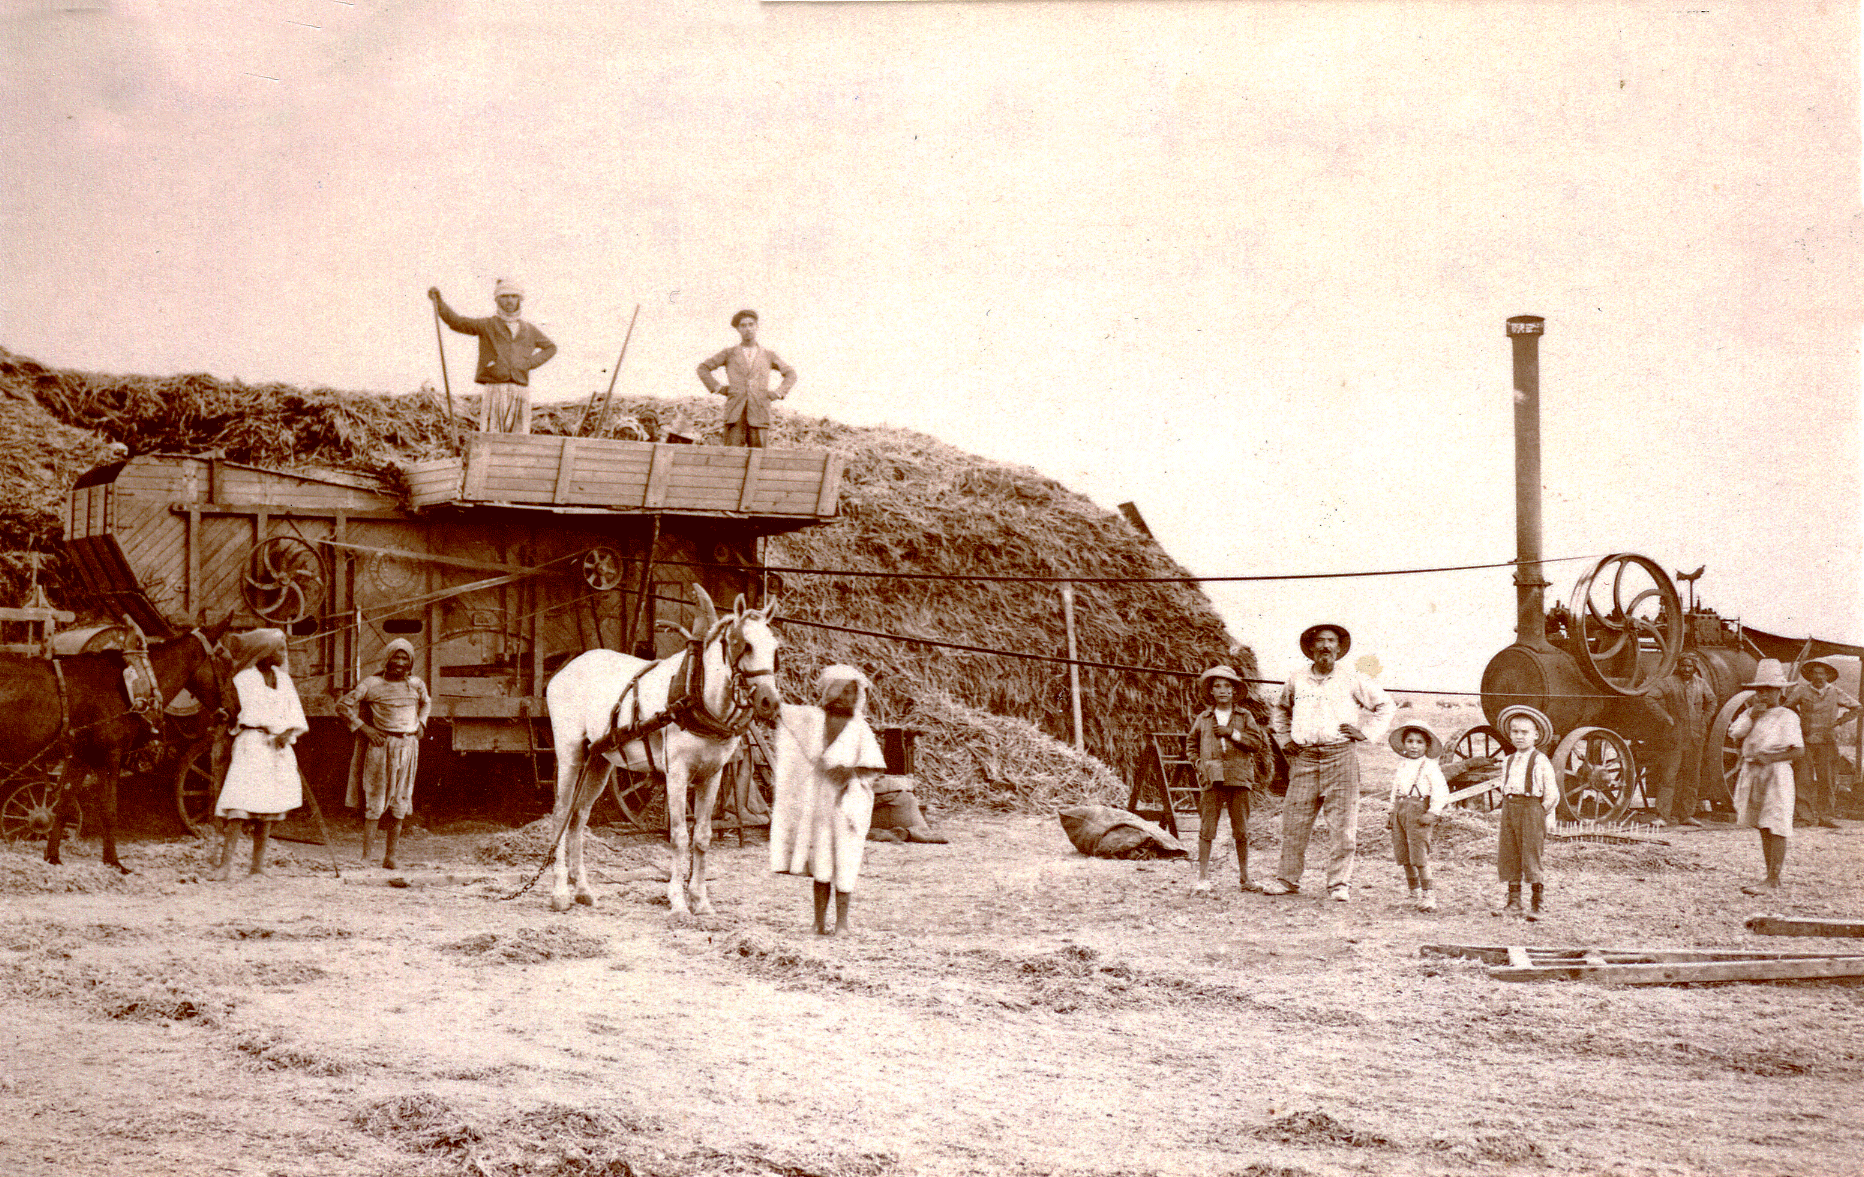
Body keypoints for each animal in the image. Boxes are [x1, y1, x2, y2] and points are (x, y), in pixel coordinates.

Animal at [0, 623, 233, 869]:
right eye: (225, 661)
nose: (235, 708)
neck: (133, 685)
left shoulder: (81, 757)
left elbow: (63, 805)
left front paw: (52, 856)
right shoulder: (111, 755)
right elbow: (109, 811)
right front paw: (113, 861)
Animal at [540, 585, 779, 917]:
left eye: (775, 648)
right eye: (742, 644)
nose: (771, 702)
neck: (696, 693)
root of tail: (566, 670)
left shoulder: (712, 775)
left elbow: (702, 837)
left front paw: (700, 900)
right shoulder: (677, 774)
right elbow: (679, 836)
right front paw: (678, 902)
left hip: (599, 762)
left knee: (579, 817)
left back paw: (584, 890)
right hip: (570, 755)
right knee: (561, 815)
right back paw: (560, 892)